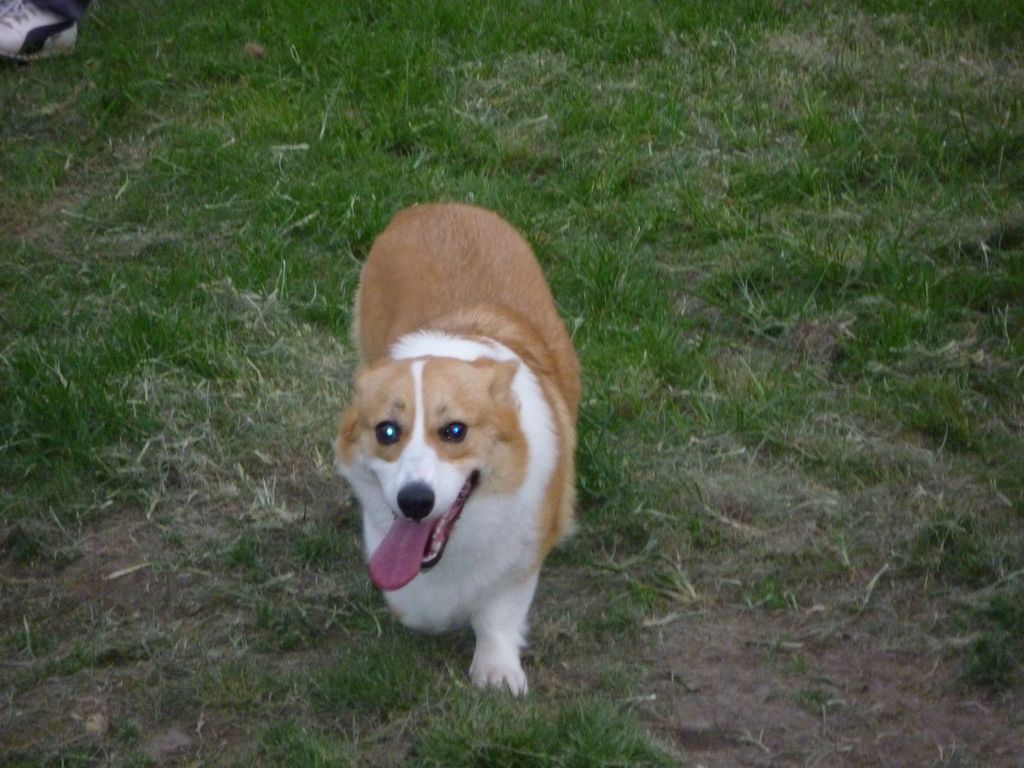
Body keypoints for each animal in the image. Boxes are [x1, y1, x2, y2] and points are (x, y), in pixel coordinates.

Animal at [334, 203, 580, 694]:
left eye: (454, 431)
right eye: (387, 431)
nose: (414, 502)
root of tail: (437, 204)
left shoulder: (524, 553)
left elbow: (499, 612)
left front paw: (497, 671)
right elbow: (417, 604)